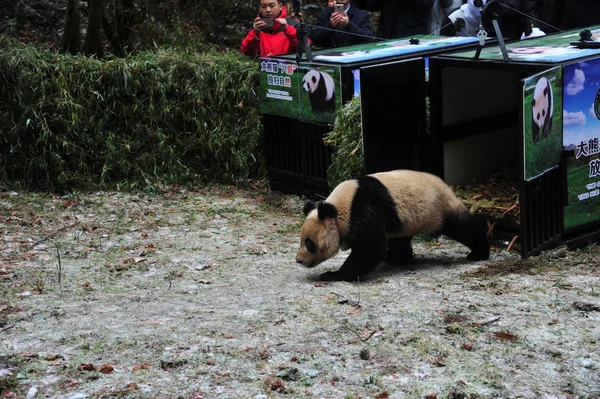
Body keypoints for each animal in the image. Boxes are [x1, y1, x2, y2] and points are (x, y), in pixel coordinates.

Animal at [292, 170, 490, 282]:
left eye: (309, 243)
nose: (299, 260)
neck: (339, 208)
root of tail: (446, 186)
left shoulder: (364, 208)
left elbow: (370, 248)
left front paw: (333, 275)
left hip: (438, 207)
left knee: (463, 226)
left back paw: (479, 252)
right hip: (405, 219)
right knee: (399, 239)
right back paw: (397, 258)